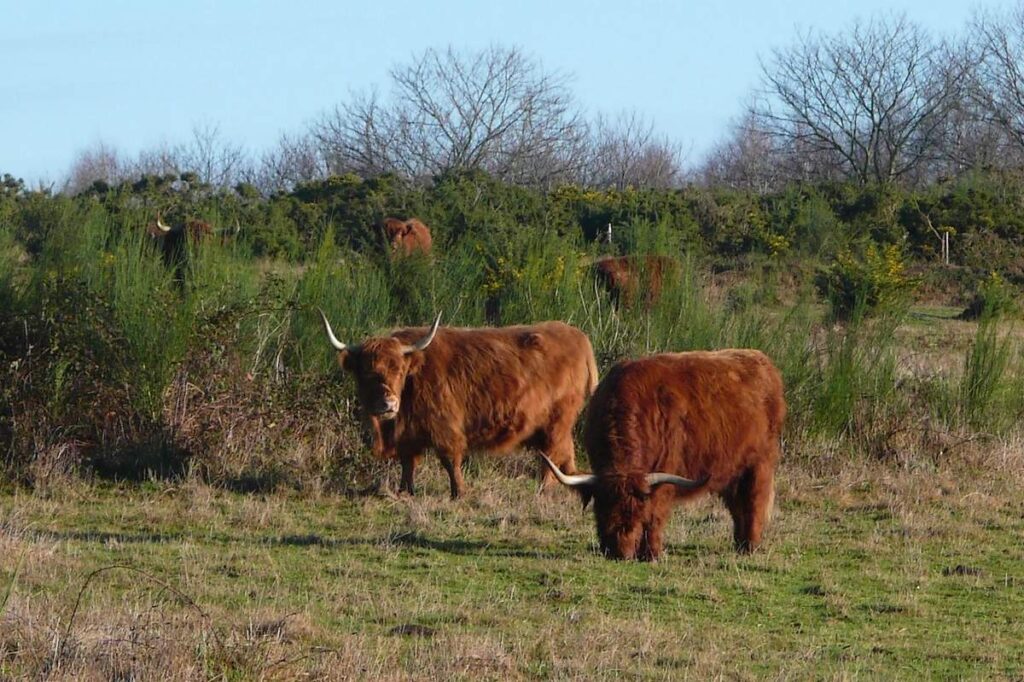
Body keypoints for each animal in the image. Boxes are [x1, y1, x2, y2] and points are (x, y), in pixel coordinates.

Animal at [319, 310, 598, 498]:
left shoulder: (445, 426)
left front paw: (459, 492)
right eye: (367, 373)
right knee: (565, 455)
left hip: (556, 421)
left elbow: (449, 460)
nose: (388, 403)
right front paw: (405, 491)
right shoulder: (408, 434)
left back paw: (543, 490)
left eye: (398, 370)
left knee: (550, 455)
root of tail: (578, 336)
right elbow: (408, 462)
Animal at [541, 349, 786, 561]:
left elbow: (655, 515)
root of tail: (760, 359)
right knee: (737, 506)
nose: (620, 553)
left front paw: (652, 554)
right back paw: (739, 544)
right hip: (732, 472)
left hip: (759, 465)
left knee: (755, 501)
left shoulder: (664, 475)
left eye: (638, 513)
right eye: (602, 511)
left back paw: (750, 546)